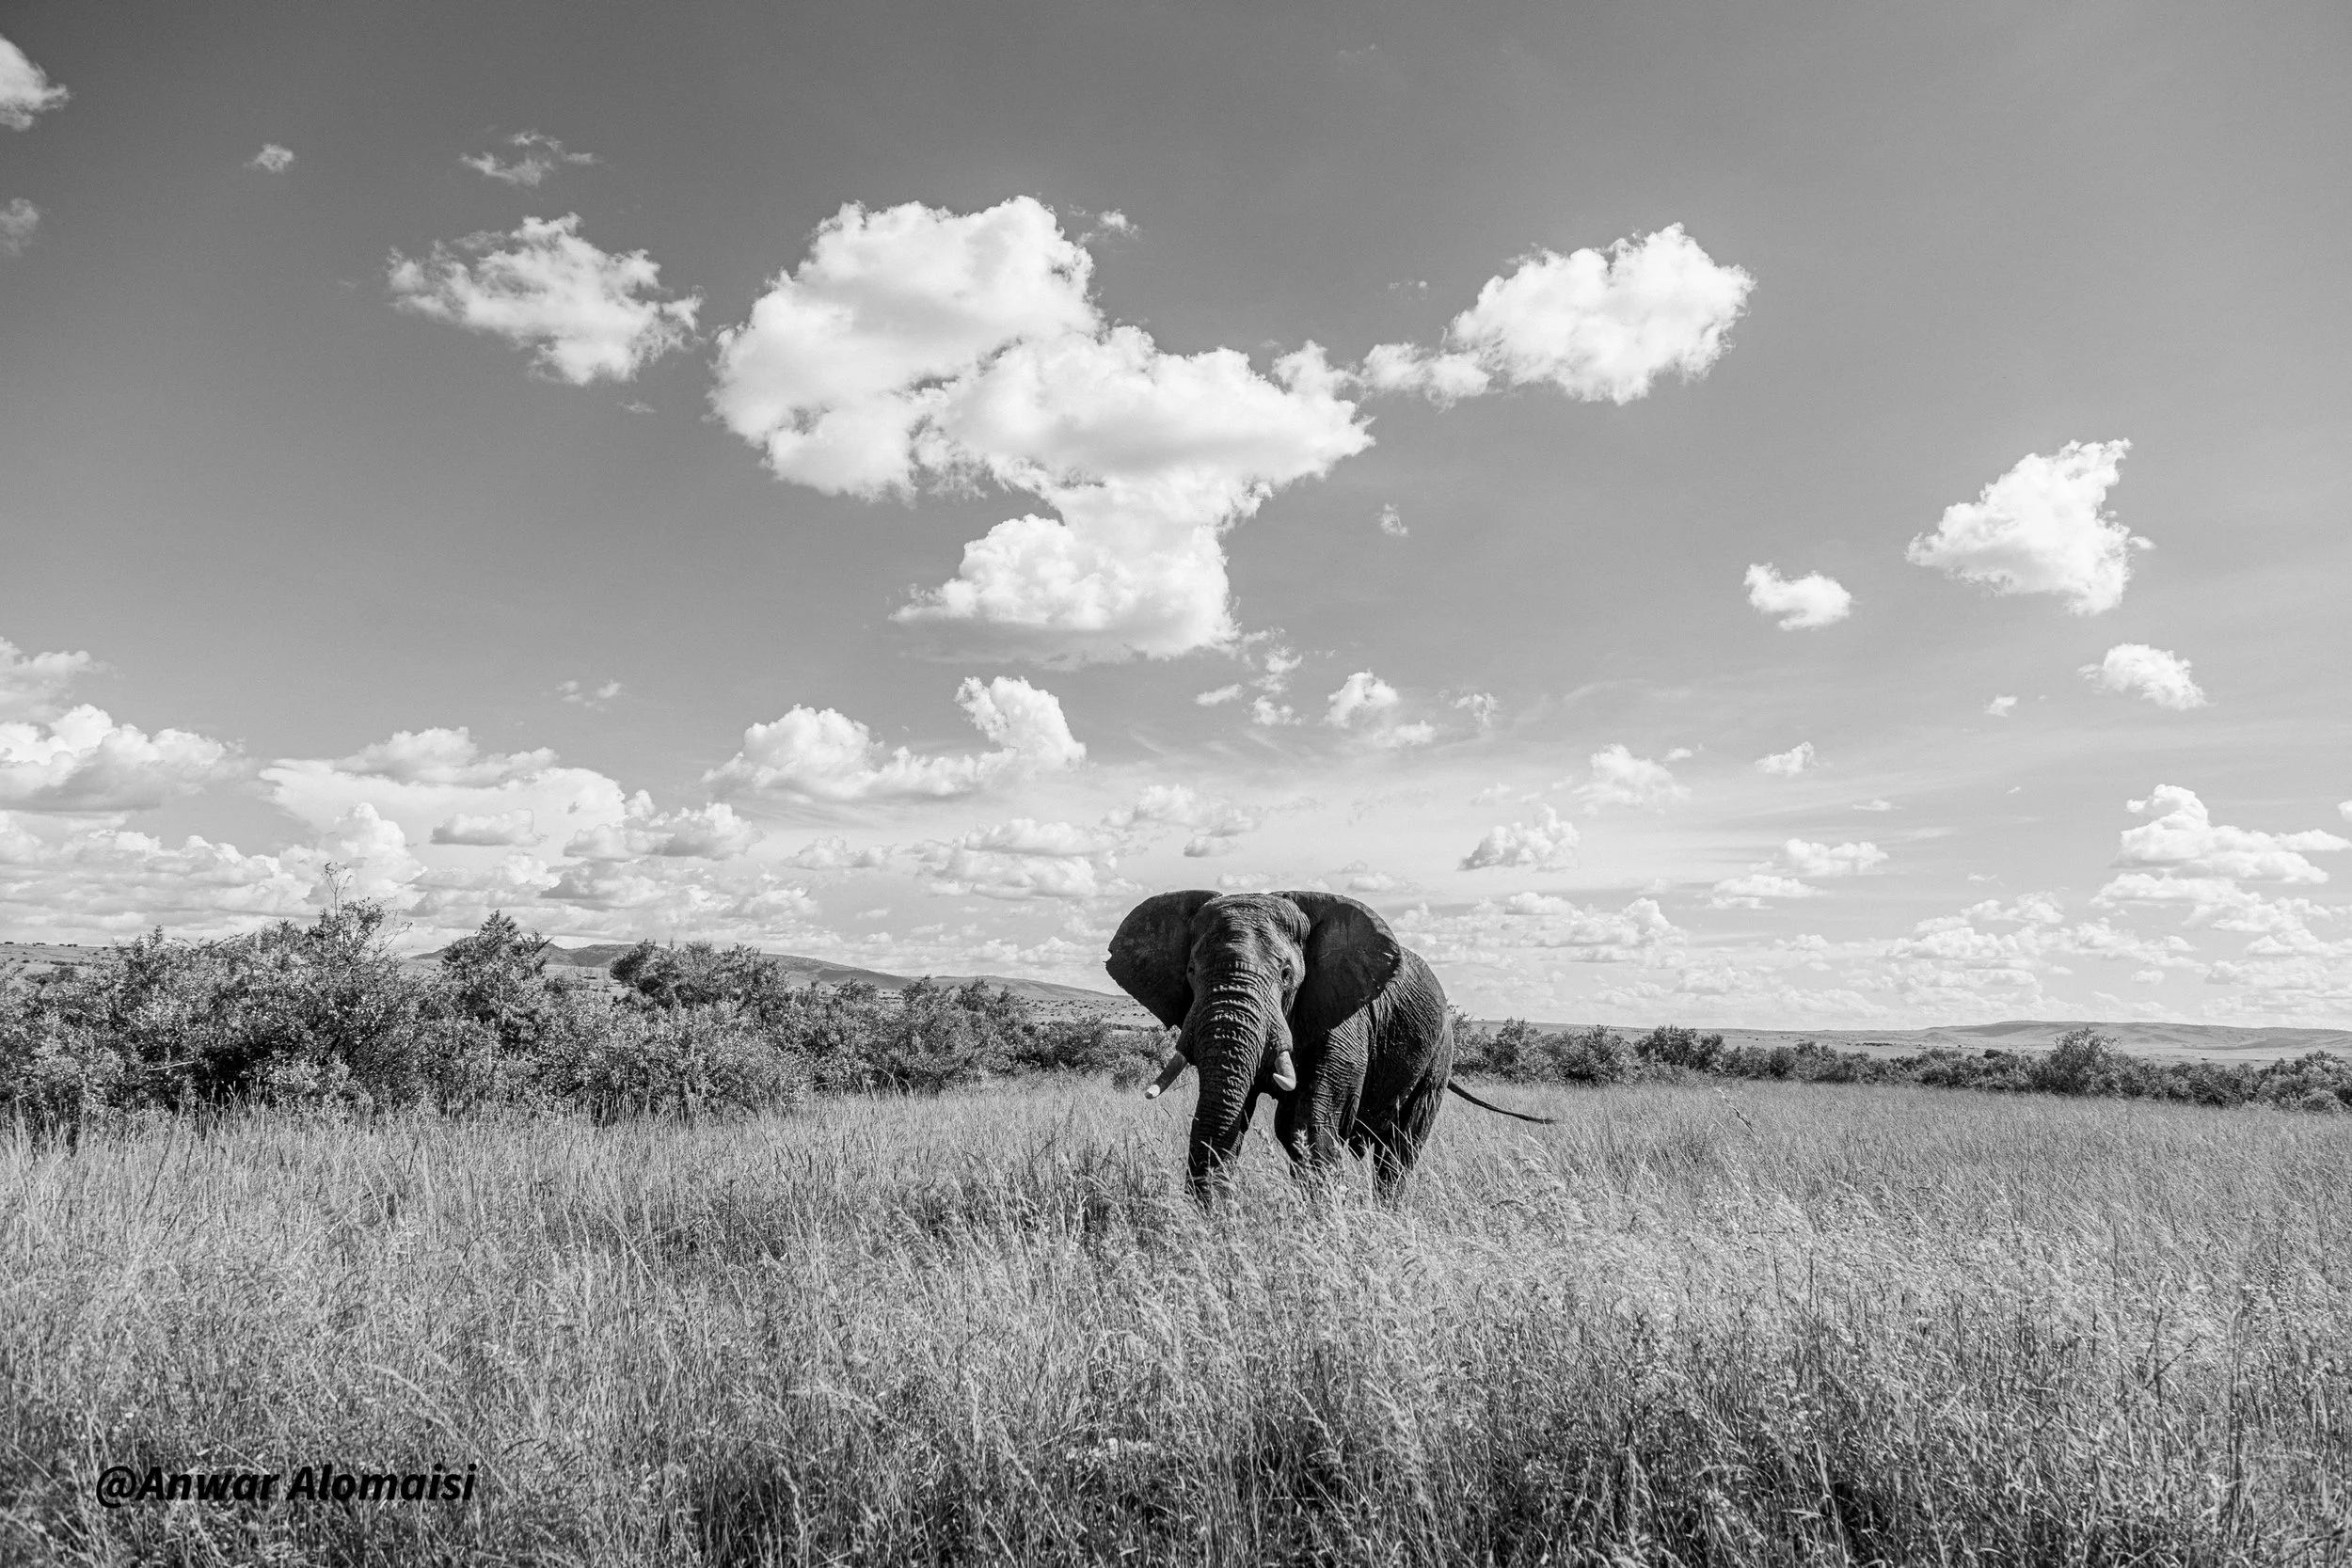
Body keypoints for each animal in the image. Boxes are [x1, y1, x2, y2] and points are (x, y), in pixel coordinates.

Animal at [1106, 889, 1551, 1200]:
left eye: (1287, 975)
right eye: (1191, 971)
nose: (1213, 1223)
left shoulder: (1342, 1018)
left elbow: (1307, 1125)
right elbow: (1232, 1116)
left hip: (1439, 1055)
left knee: (1399, 1150)